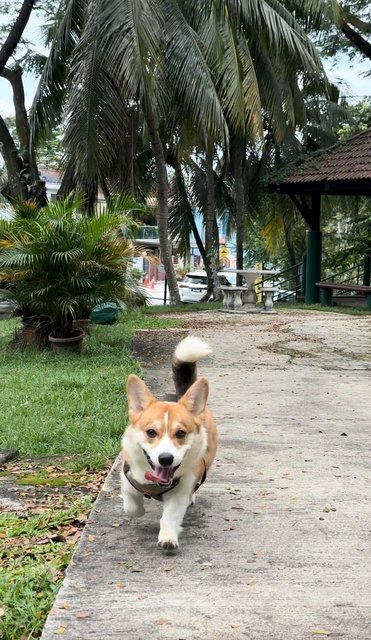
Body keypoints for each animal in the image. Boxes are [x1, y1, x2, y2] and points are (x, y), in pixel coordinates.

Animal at [121, 336, 218, 552]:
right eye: (151, 432)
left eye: (180, 433)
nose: (166, 459)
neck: (155, 483)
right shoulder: (128, 478)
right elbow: (131, 506)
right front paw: (137, 508)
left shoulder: (180, 494)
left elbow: (169, 517)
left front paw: (167, 537)